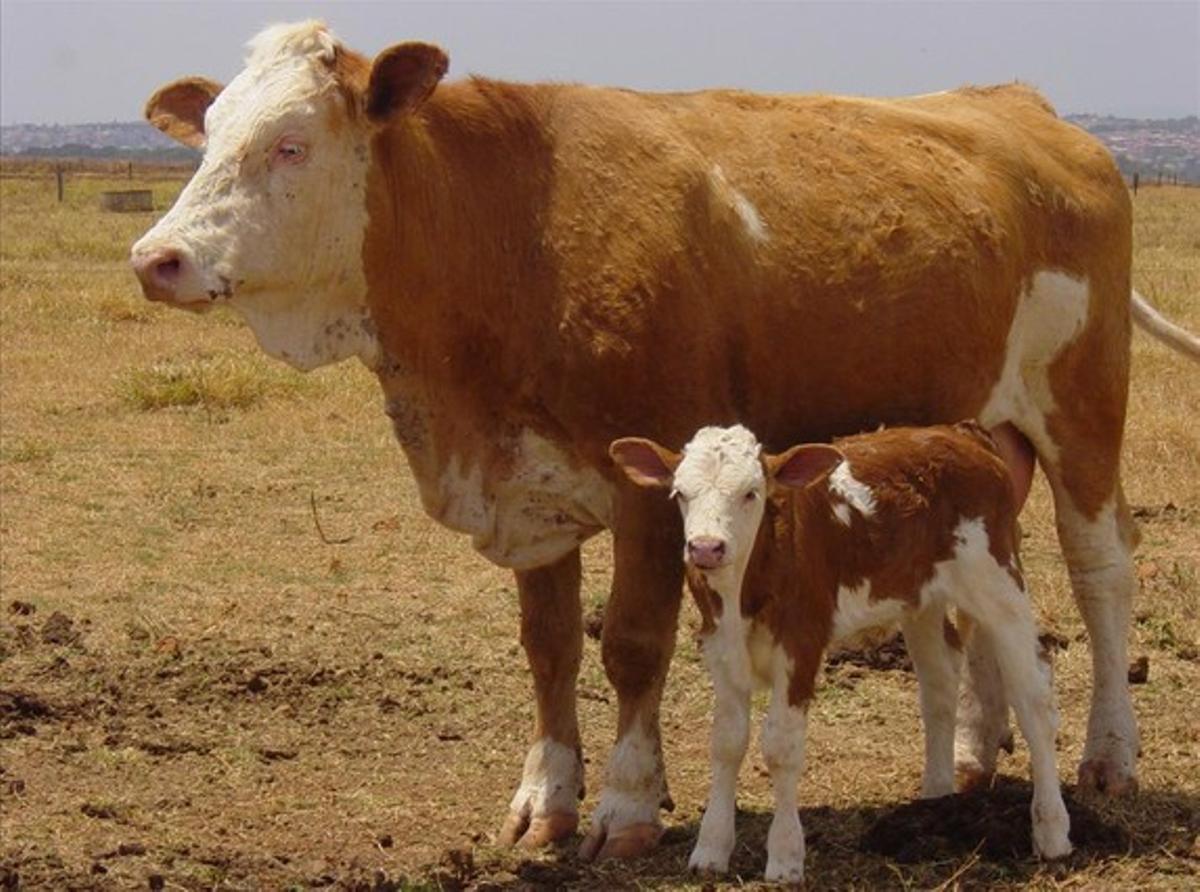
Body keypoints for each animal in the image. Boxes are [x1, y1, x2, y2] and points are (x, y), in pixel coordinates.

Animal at [610, 422, 1072, 881]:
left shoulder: (801, 644)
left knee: (1034, 699)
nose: (706, 548)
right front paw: (711, 848)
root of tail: (962, 433)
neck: (748, 587)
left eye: (750, 493)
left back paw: (1052, 831)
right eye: (680, 493)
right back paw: (935, 800)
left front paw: (785, 856)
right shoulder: (720, 647)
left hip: (999, 584)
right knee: (940, 681)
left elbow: (780, 747)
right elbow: (726, 742)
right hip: (921, 598)